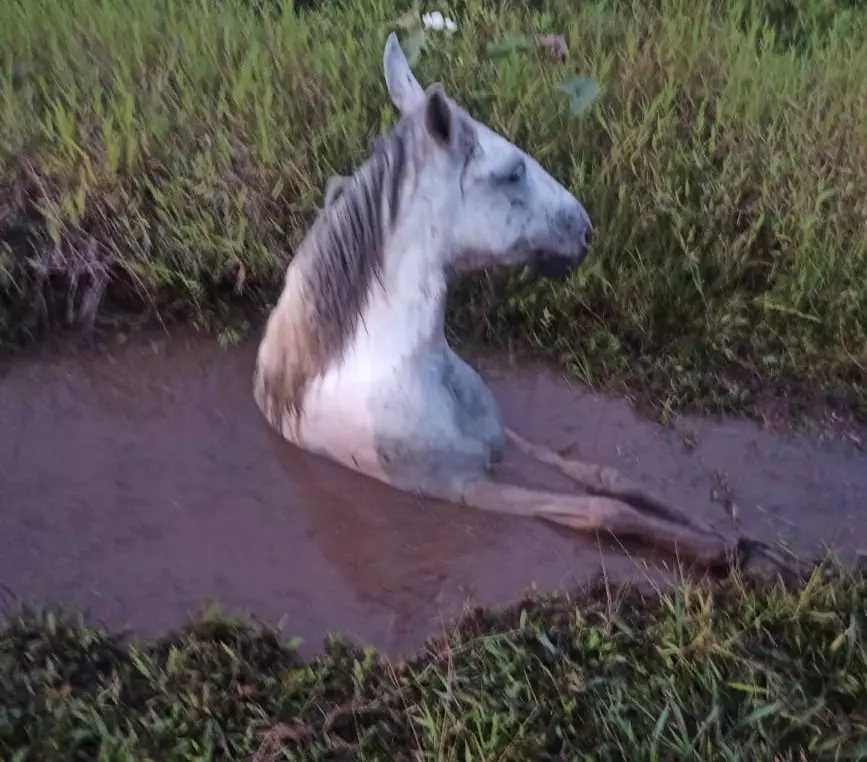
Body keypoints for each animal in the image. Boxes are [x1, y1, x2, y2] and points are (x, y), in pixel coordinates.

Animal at [254, 29, 804, 576]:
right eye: (513, 172)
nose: (585, 230)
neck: (407, 366)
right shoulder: (462, 486)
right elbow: (601, 509)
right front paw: (721, 551)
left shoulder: (507, 442)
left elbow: (607, 476)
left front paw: (744, 541)